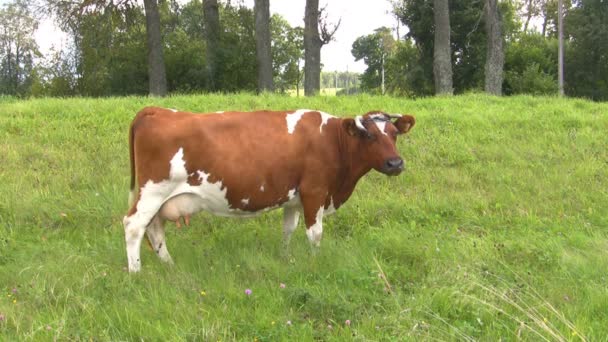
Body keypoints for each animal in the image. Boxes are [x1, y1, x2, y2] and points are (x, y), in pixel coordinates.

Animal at [123, 107, 418, 272]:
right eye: (369, 135)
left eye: (394, 134)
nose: (395, 163)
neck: (332, 140)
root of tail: (156, 110)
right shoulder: (314, 191)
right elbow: (315, 234)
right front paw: (316, 263)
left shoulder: (294, 198)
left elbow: (287, 229)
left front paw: (285, 259)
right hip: (153, 191)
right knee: (134, 225)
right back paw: (136, 272)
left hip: (158, 198)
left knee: (154, 229)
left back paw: (170, 267)